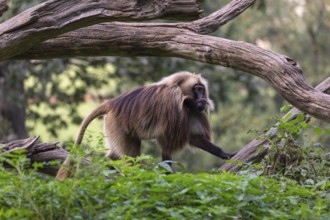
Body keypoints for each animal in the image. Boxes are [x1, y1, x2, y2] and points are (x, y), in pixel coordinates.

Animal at [55, 71, 235, 180]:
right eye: (197, 90)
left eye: (202, 90)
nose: (203, 98)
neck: (186, 101)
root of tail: (111, 103)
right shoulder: (174, 111)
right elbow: (167, 146)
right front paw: (166, 175)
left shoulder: (192, 112)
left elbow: (195, 138)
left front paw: (224, 154)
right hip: (117, 125)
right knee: (130, 157)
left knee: (116, 154)